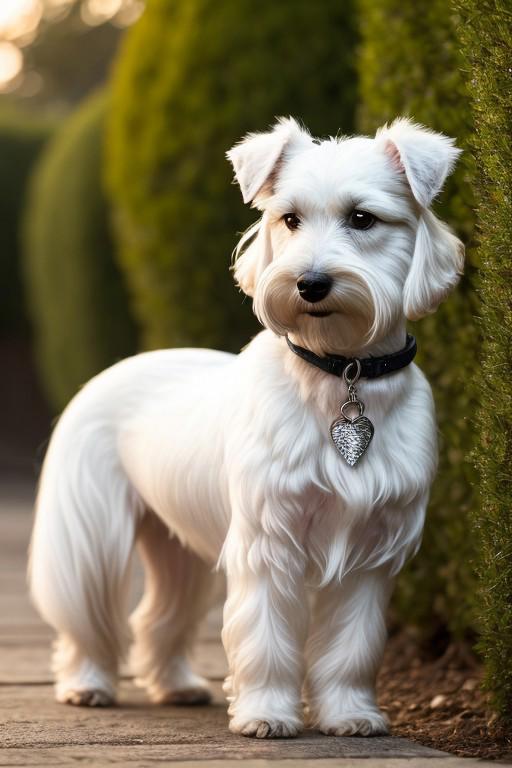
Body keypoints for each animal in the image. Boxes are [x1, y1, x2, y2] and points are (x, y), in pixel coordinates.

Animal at [30, 118, 466, 736]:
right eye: (290, 218)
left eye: (363, 218)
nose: (309, 284)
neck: (341, 371)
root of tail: (114, 368)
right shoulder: (269, 539)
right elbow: (266, 639)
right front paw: (265, 715)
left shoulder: (370, 550)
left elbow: (352, 647)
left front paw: (351, 715)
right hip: (91, 541)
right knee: (88, 620)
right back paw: (86, 685)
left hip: (177, 549)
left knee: (156, 619)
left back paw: (179, 686)